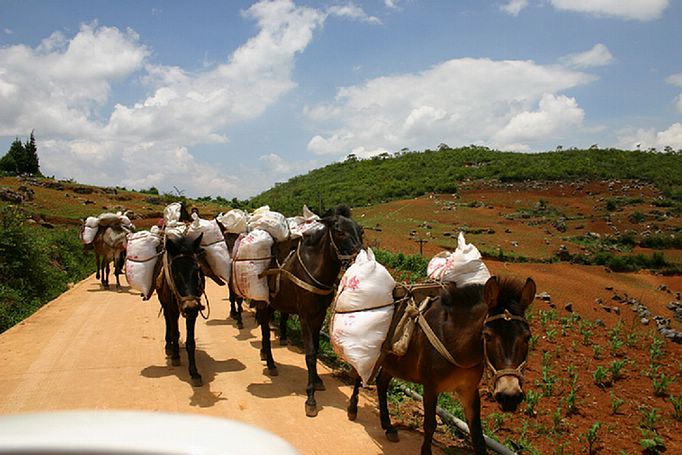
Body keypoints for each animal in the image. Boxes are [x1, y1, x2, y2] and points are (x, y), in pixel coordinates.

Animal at [254, 207, 362, 416]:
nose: (357, 258)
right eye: (339, 231)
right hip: (265, 302)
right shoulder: (305, 316)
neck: (316, 269)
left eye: (361, 231)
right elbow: (310, 354)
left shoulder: (319, 314)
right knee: (264, 328)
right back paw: (270, 362)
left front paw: (318, 380)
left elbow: (317, 348)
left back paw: (264, 353)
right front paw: (311, 397)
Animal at [348, 276, 532, 454]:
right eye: (487, 336)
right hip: (367, 354)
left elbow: (478, 436)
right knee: (358, 375)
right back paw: (352, 409)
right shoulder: (430, 387)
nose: (509, 396)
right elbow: (430, 425)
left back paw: (388, 426)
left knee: (381, 383)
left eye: (527, 337)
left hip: (392, 363)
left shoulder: (469, 390)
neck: (453, 341)